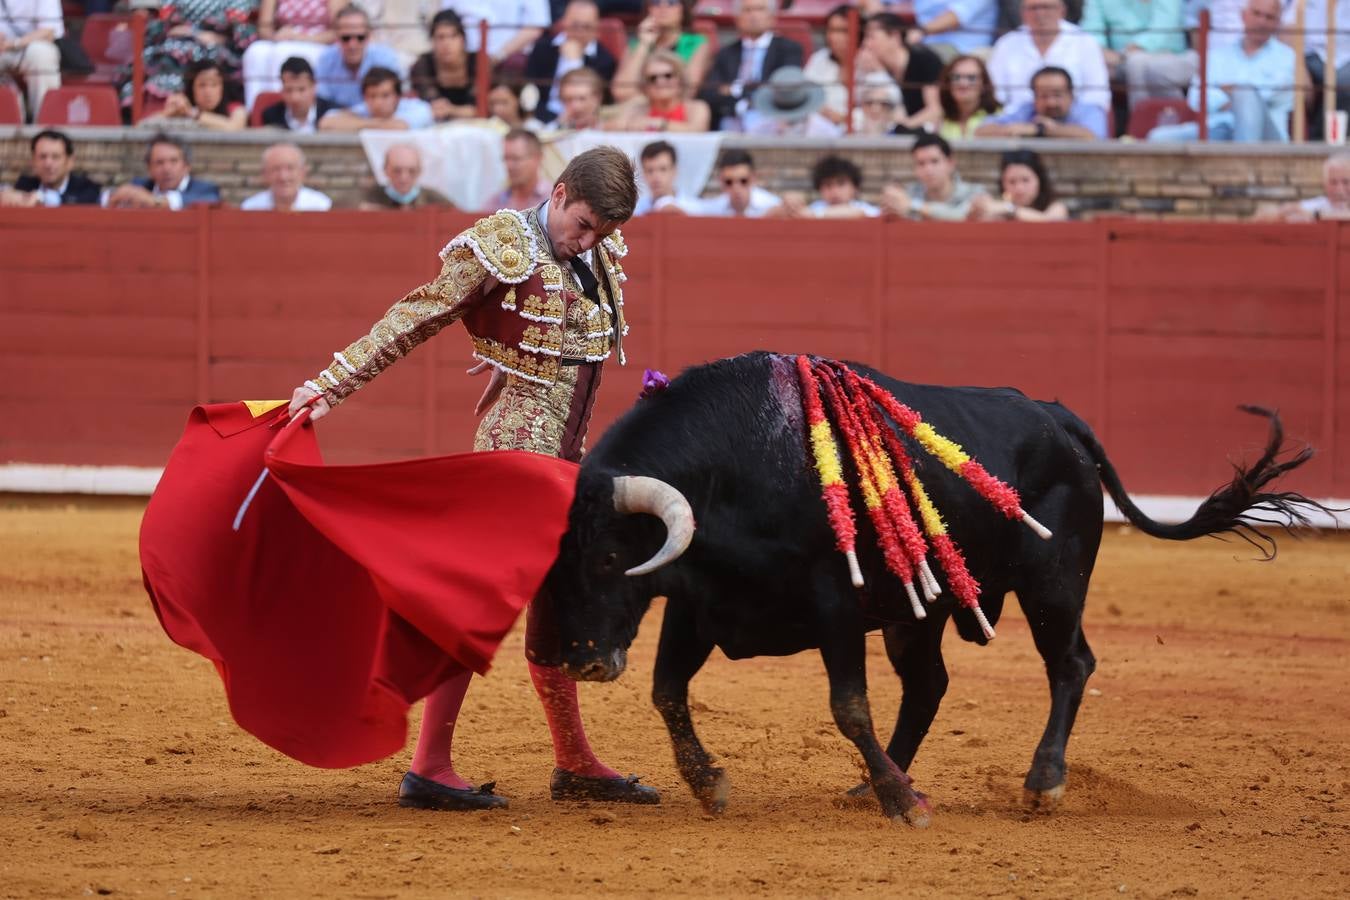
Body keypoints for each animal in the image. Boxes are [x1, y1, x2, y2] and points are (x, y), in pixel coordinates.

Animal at [540, 348, 1328, 825]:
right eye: (554, 563)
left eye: (608, 557)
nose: (583, 660)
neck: (739, 461)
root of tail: (1057, 416)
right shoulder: (699, 602)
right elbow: (668, 691)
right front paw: (709, 782)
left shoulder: (835, 604)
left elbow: (848, 706)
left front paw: (903, 804)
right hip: (915, 614)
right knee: (928, 687)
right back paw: (877, 781)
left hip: (1053, 585)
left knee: (1071, 664)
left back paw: (1040, 783)